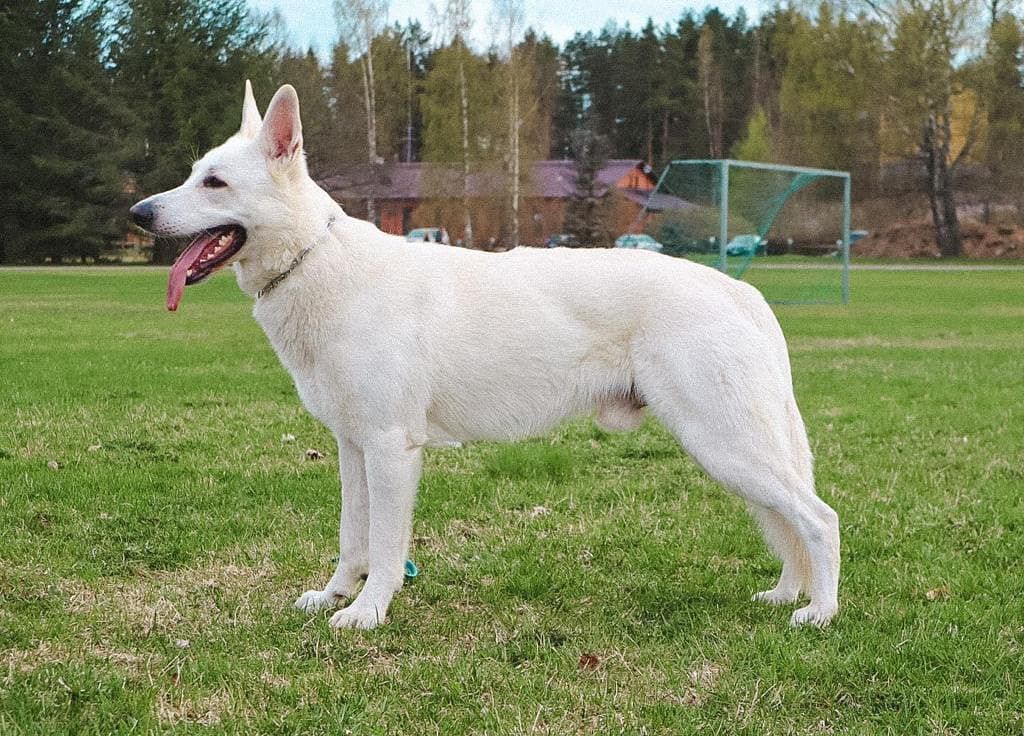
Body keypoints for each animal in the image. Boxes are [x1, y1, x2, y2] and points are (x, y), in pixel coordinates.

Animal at [130, 83, 839, 630]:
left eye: (215, 183)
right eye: (193, 174)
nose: (137, 213)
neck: (317, 262)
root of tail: (741, 290)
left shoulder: (391, 449)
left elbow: (384, 548)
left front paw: (367, 614)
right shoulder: (353, 449)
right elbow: (352, 540)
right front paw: (334, 597)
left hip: (725, 444)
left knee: (820, 520)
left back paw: (819, 613)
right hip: (730, 454)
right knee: (788, 525)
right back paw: (785, 596)